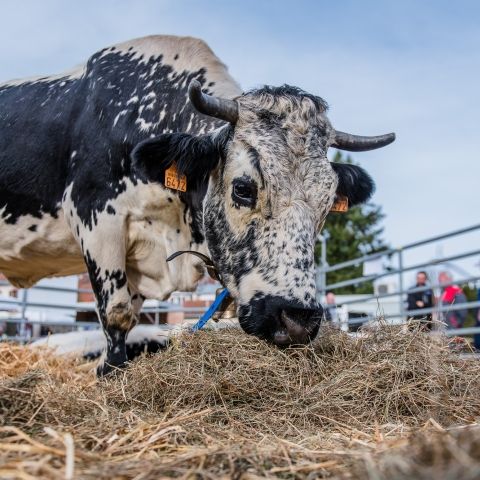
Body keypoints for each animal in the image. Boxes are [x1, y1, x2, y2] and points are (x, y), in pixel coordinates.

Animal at [0, 34, 396, 376]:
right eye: (243, 189)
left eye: (328, 203)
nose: (297, 320)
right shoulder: (96, 218)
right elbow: (117, 315)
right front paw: (110, 375)